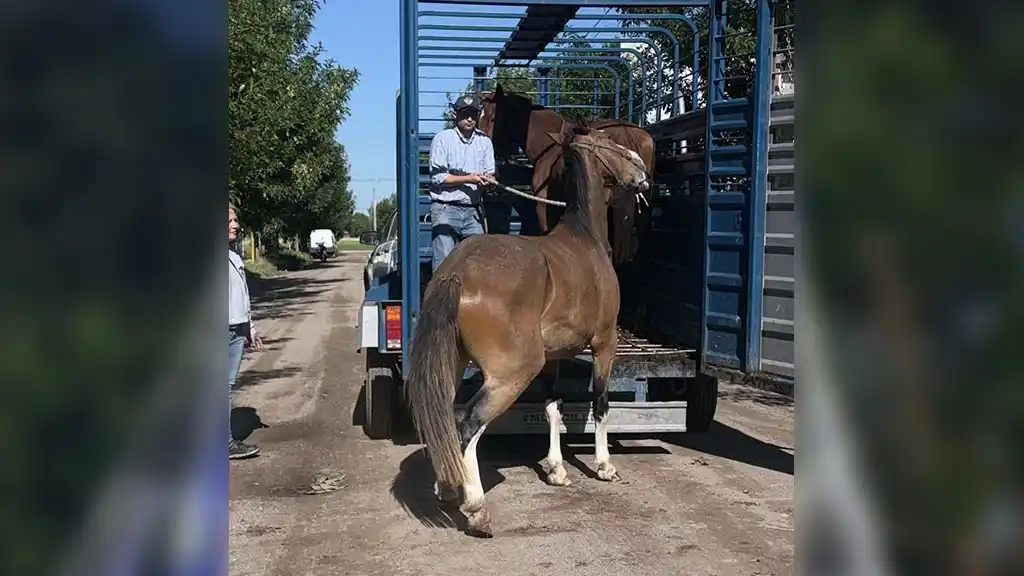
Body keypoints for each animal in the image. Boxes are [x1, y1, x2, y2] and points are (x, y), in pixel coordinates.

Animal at [404, 125, 650, 538]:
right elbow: (600, 404)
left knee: (445, 417)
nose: (642, 169)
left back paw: (449, 487)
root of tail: (457, 272)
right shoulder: (605, 344)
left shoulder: (553, 359)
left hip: (456, 366)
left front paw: (556, 470)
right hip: (512, 374)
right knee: (467, 424)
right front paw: (604, 466)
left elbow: (553, 408)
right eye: (610, 143)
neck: (584, 236)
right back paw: (476, 508)